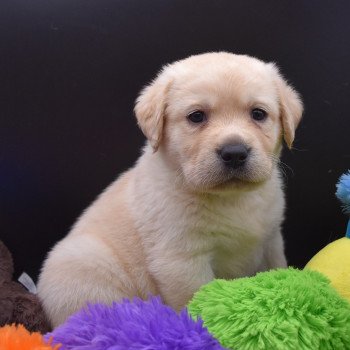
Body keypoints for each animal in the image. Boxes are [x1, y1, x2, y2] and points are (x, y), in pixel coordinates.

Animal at [37, 52, 302, 328]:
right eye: (196, 116)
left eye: (258, 114)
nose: (234, 153)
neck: (232, 199)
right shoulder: (181, 261)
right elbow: (198, 299)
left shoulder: (271, 240)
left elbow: (278, 267)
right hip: (84, 265)